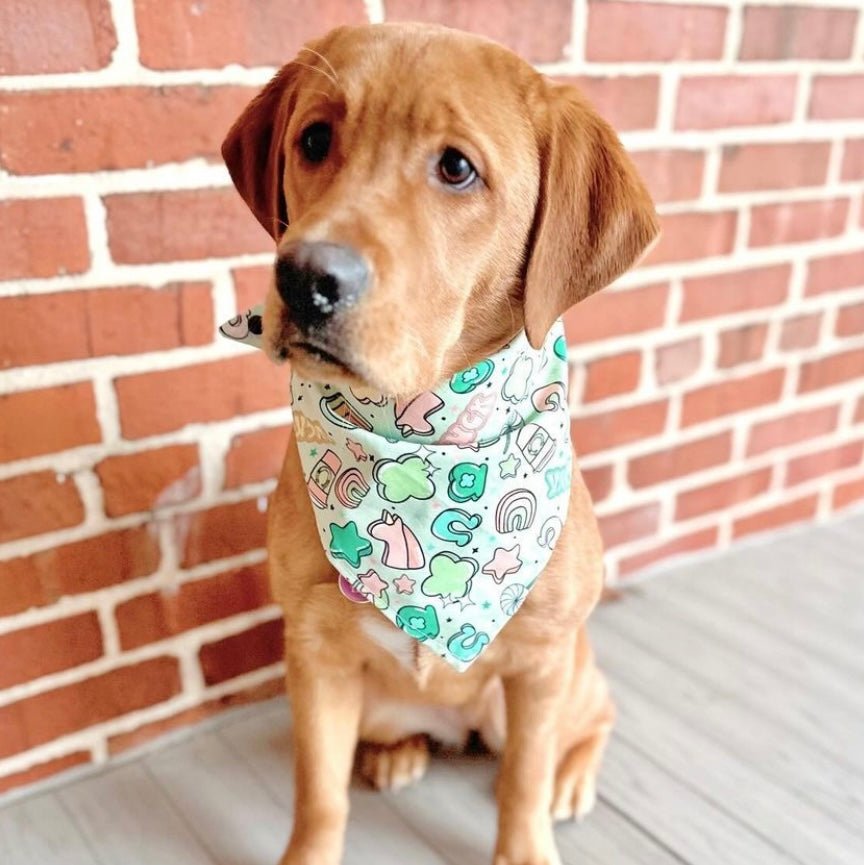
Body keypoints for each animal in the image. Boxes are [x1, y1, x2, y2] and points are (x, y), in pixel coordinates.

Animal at [219, 20, 660, 864]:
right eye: (314, 139)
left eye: (456, 167)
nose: (303, 279)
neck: (419, 434)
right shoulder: (314, 656)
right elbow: (319, 793)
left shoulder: (542, 662)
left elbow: (523, 780)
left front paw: (526, 842)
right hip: (376, 700)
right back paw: (400, 752)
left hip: (567, 675)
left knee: (596, 717)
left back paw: (572, 775)